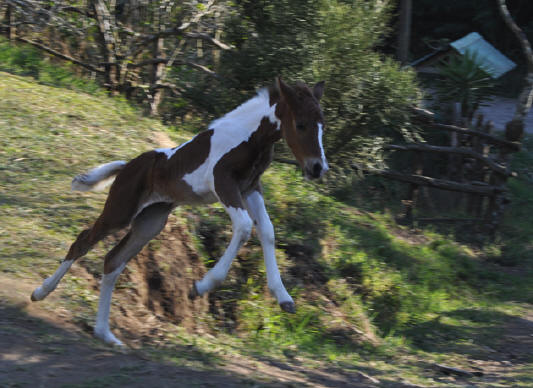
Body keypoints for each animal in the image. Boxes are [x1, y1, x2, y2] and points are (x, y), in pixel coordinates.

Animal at [32, 79, 328, 346]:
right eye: (301, 124)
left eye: (322, 125)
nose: (317, 168)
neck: (249, 137)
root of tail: (128, 166)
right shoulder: (224, 183)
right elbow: (244, 227)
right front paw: (201, 286)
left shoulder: (250, 189)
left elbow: (267, 231)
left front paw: (284, 298)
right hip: (121, 211)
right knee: (83, 240)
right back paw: (41, 292)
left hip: (150, 223)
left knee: (113, 261)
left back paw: (104, 333)